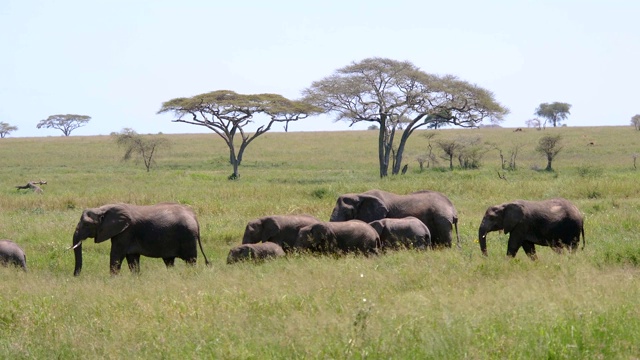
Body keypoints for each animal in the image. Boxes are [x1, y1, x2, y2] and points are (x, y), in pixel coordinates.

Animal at [71, 202, 210, 276]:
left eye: (86, 224)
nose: (76, 277)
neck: (102, 208)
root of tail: (194, 216)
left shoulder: (125, 232)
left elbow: (116, 254)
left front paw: (113, 279)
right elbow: (132, 258)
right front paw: (135, 278)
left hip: (188, 236)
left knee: (190, 260)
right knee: (169, 261)